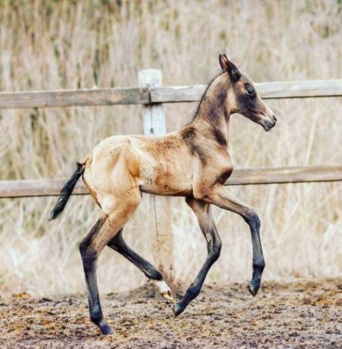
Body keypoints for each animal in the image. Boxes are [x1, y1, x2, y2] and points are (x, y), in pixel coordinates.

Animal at [49, 53, 276, 334]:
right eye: (250, 89)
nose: (272, 119)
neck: (207, 137)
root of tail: (88, 159)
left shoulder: (197, 200)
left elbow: (215, 245)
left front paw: (181, 303)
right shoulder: (209, 190)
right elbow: (251, 216)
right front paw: (254, 282)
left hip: (112, 207)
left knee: (112, 240)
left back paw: (163, 286)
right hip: (126, 203)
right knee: (91, 247)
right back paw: (102, 321)